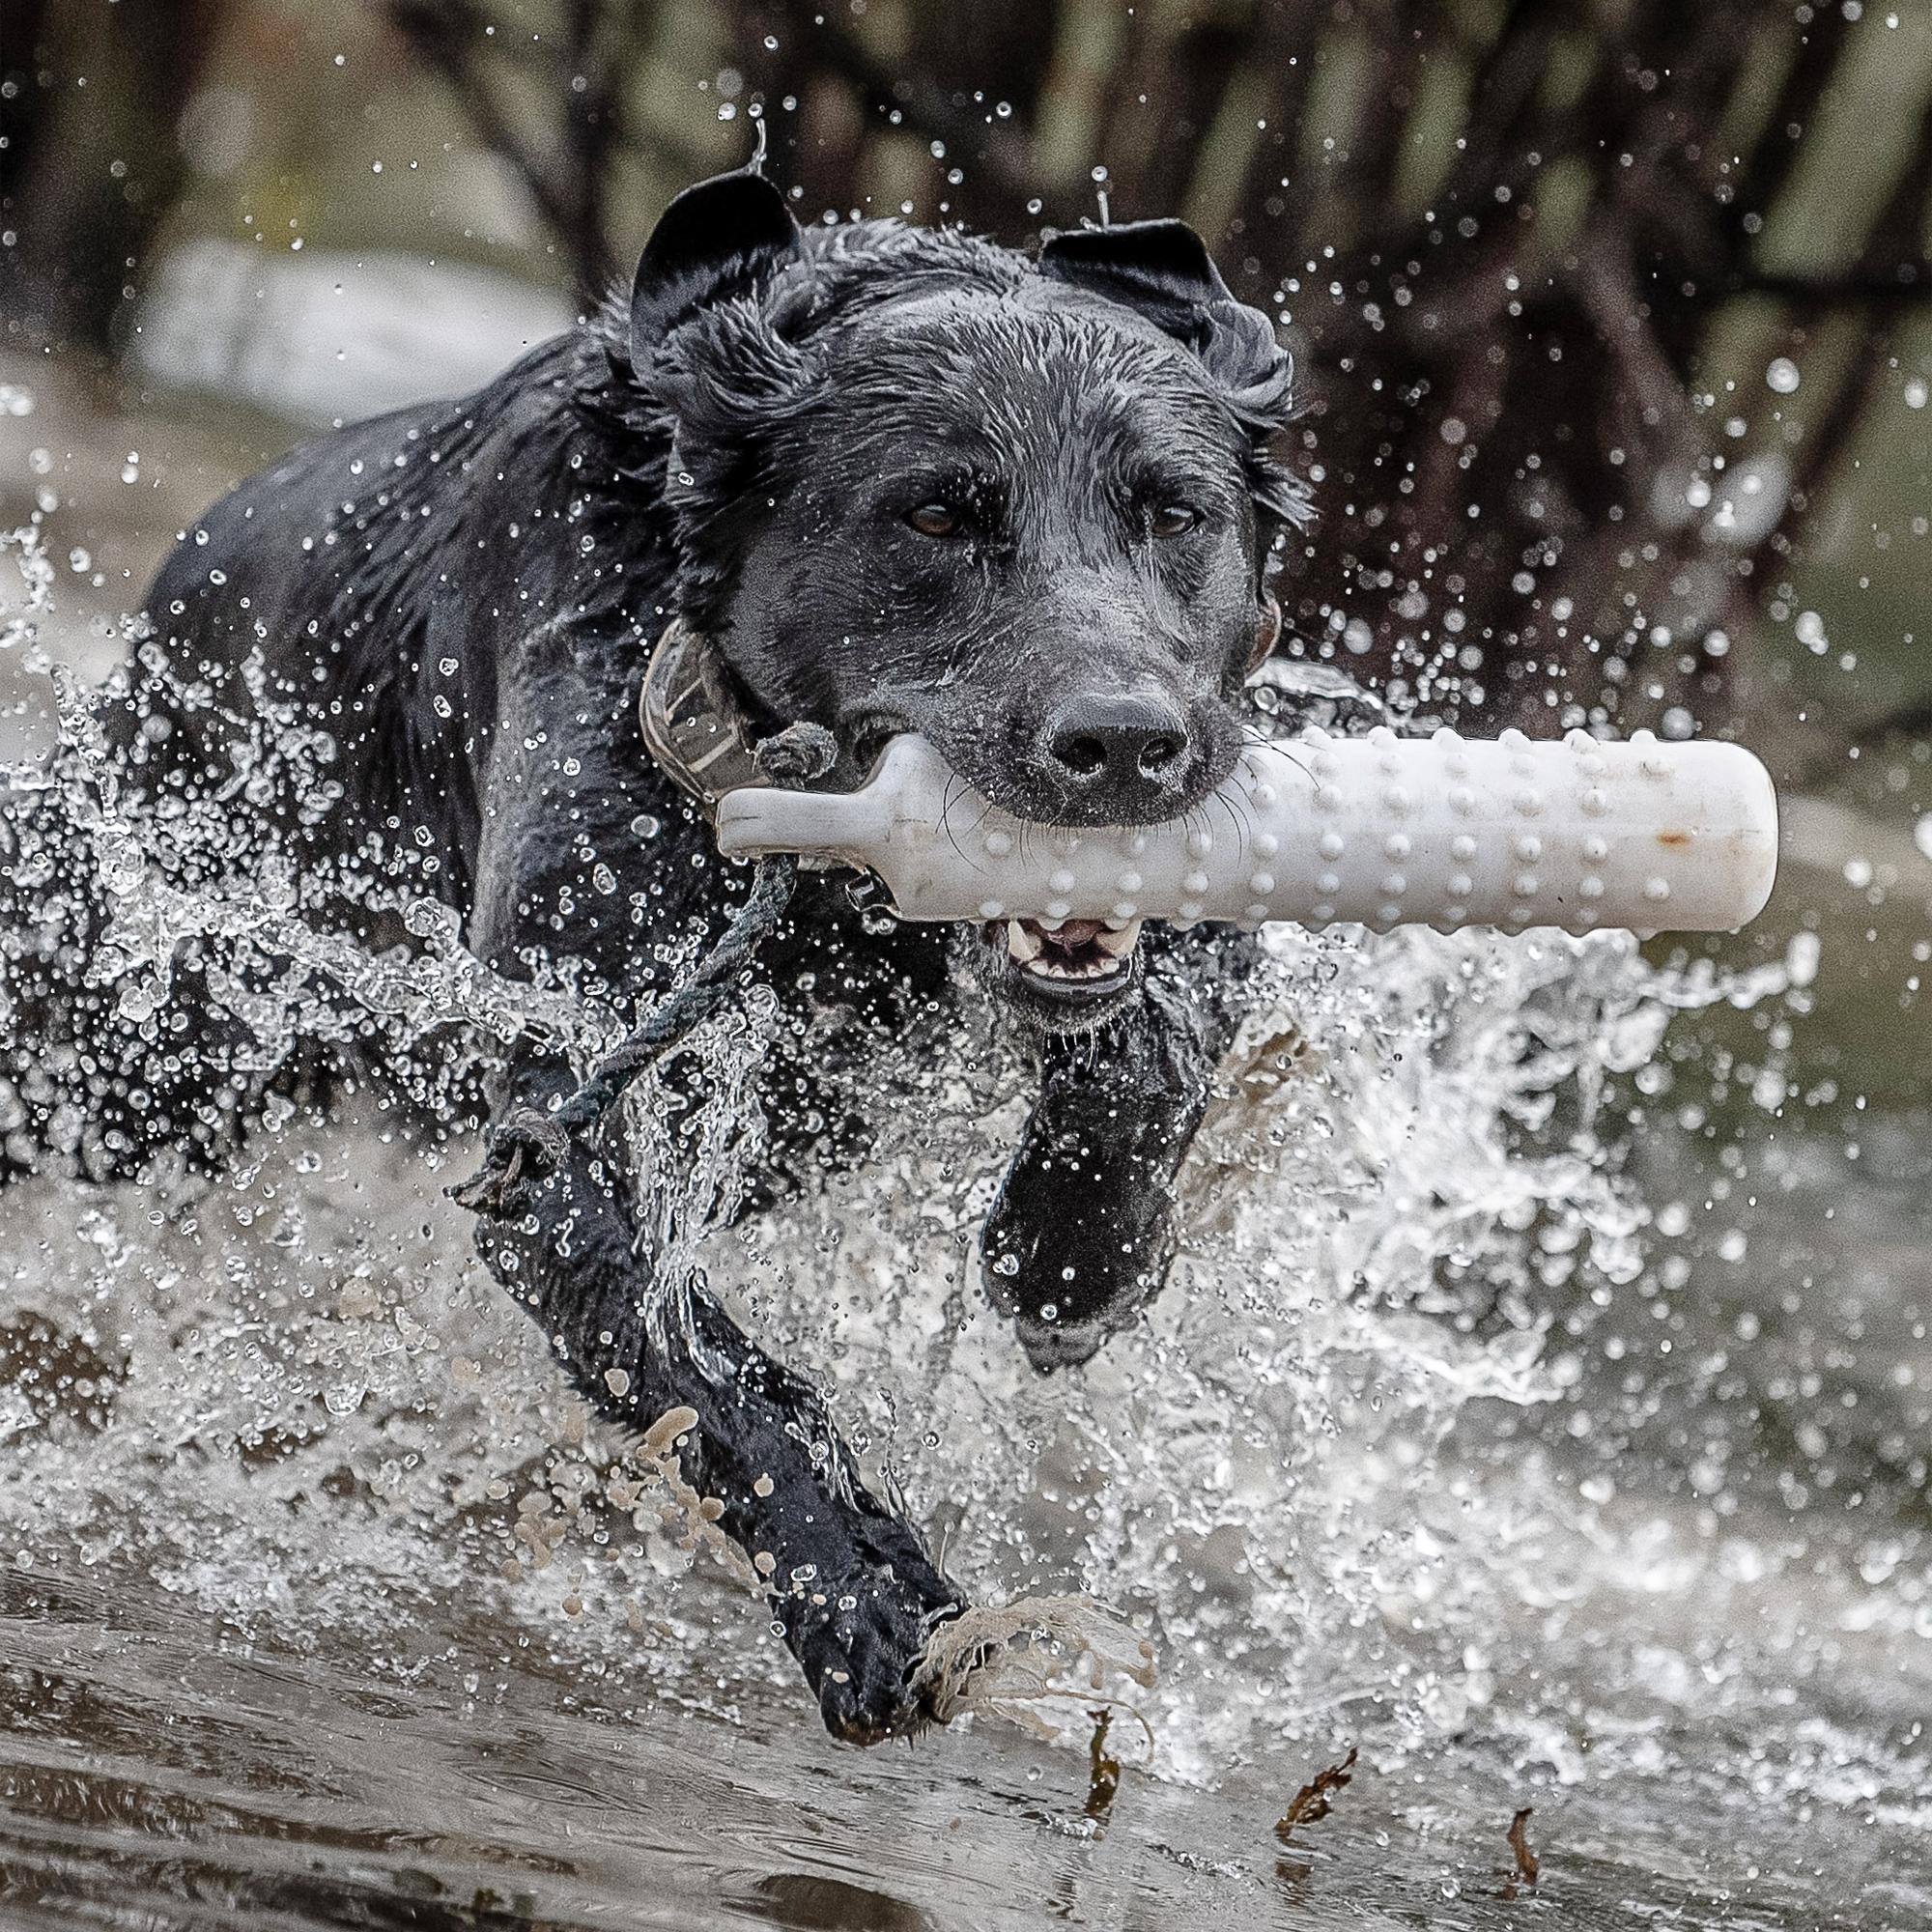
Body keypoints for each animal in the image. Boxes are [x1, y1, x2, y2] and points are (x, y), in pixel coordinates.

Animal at [7, 162, 1306, 1739]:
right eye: (936, 515)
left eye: (1176, 511)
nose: (1121, 742)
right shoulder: (564, 1133)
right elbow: (723, 1379)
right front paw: (871, 1605)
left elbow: (1156, 1033)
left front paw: (1069, 1255)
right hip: (130, 1054)